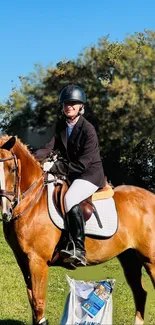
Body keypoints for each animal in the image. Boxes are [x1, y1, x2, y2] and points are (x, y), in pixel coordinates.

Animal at [0, 135, 155, 324]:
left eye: (12, 168)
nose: (6, 212)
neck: (31, 202)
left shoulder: (37, 261)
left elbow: (38, 302)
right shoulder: (23, 260)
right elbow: (32, 302)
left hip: (150, 259)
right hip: (130, 258)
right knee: (140, 293)